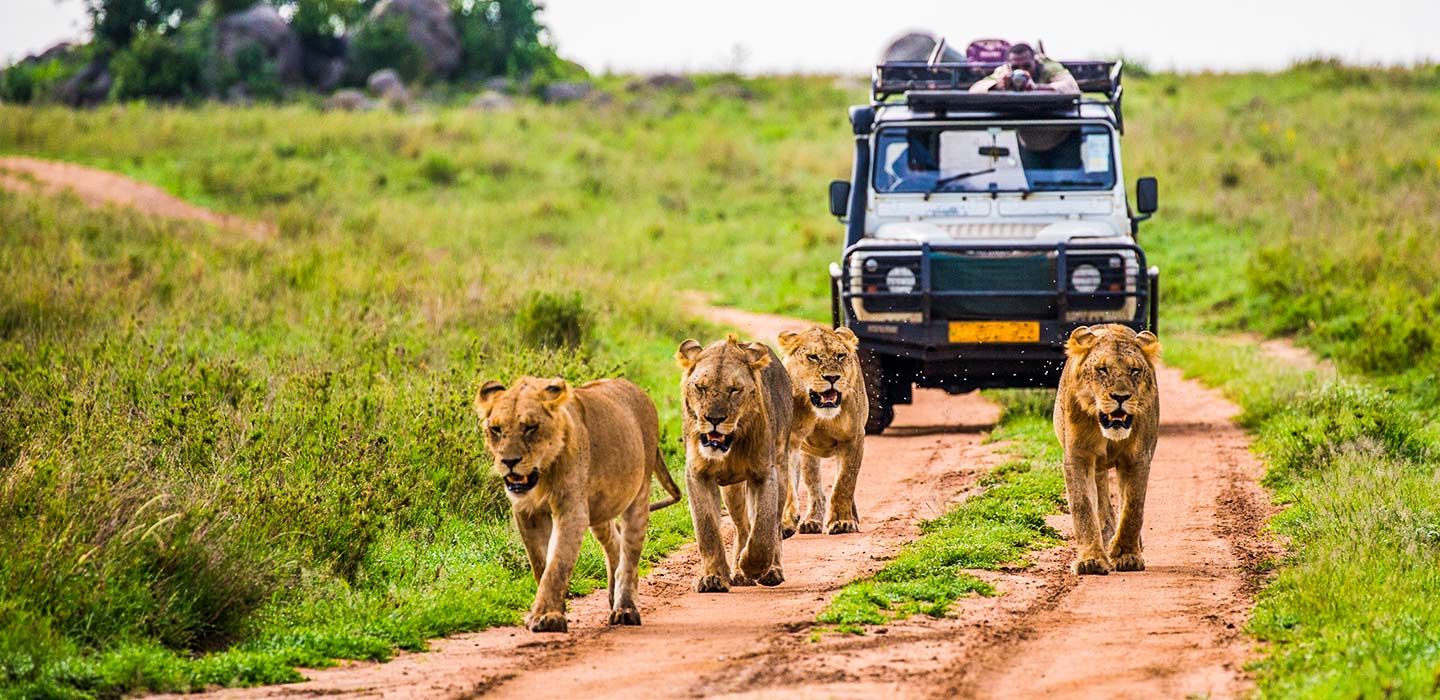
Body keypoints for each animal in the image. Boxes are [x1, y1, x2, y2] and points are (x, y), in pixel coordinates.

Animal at [469, 377, 676, 633]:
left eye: (530, 427)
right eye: (496, 429)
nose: (509, 461)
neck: (543, 474)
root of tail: (638, 390)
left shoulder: (572, 510)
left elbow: (558, 563)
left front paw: (546, 616)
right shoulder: (526, 512)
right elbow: (540, 563)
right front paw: (553, 609)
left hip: (639, 494)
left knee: (629, 556)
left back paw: (625, 609)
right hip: (599, 509)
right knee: (614, 543)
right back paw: (613, 596)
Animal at [676, 334, 794, 590]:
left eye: (734, 390)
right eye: (701, 387)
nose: (714, 419)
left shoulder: (764, 474)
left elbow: (763, 530)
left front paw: (753, 566)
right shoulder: (697, 474)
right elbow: (707, 529)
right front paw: (713, 578)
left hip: (781, 469)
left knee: (774, 526)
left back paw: (769, 571)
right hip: (733, 490)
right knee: (742, 525)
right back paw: (739, 574)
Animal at [777, 326, 864, 535]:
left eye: (840, 356)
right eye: (813, 357)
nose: (832, 377)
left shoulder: (853, 439)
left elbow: (844, 483)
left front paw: (842, 521)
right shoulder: (789, 442)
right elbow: (789, 484)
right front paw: (787, 521)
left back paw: (852, 518)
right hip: (808, 456)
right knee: (814, 487)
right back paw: (811, 522)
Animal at [1054, 322, 1163, 573]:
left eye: (1134, 371)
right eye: (1102, 369)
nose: (1120, 397)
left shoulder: (1137, 458)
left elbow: (1132, 508)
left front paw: (1126, 555)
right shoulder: (1078, 457)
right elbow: (1083, 507)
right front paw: (1091, 560)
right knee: (1101, 501)